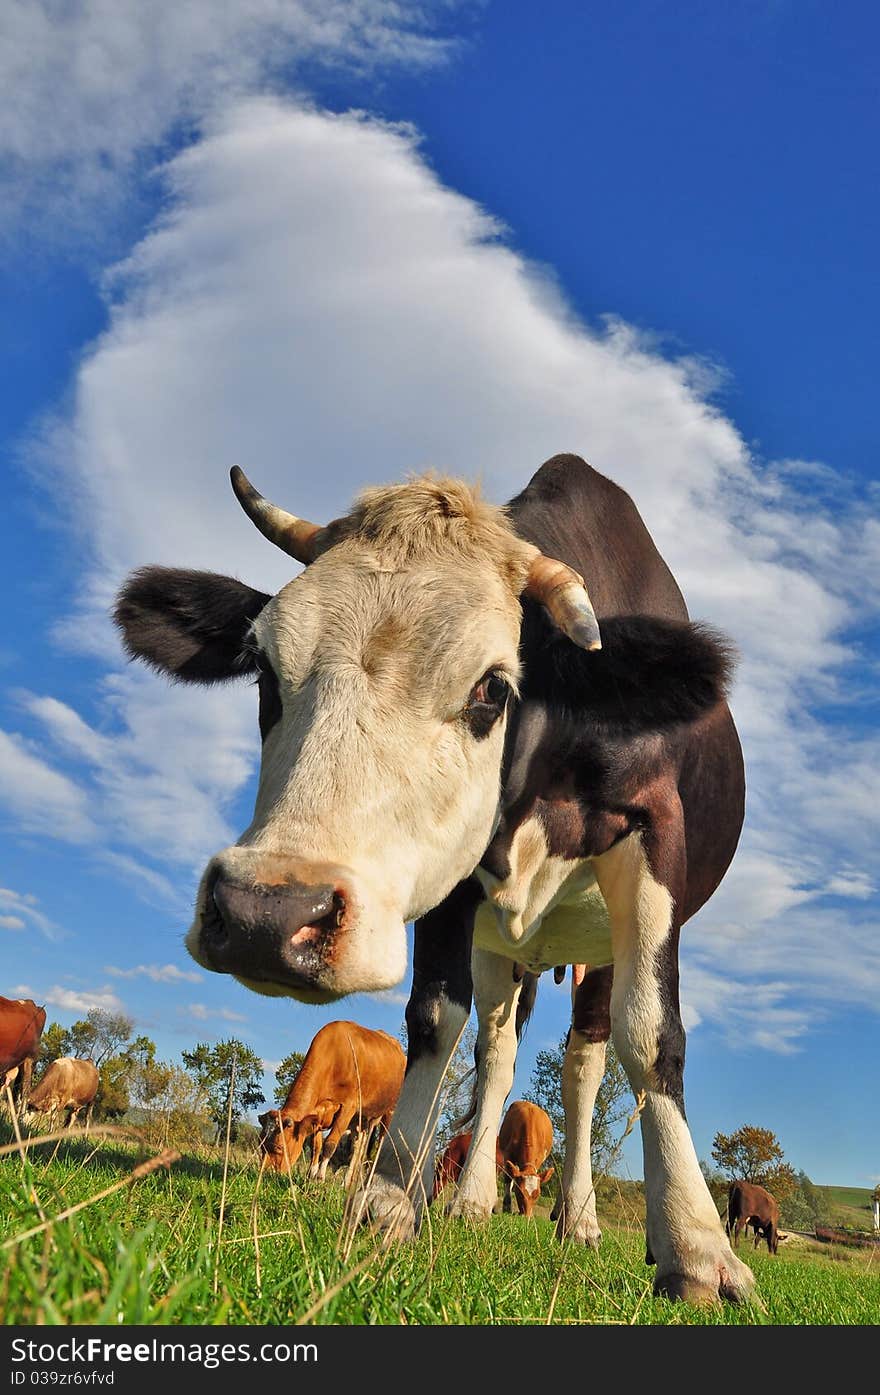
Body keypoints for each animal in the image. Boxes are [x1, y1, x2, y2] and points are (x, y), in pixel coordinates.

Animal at [255, 1021, 407, 1182]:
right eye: (261, 1144)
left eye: (279, 1147)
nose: (266, 1174)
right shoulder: (317, 1115)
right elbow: (315, 1146)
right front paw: (310, 1176)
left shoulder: (348, 1107)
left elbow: (329, 1144)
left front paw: (319, 1177)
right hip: (363, 1118)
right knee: (358, 1146)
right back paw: (347, 1182)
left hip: (390, 1111)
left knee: (380, 1146)